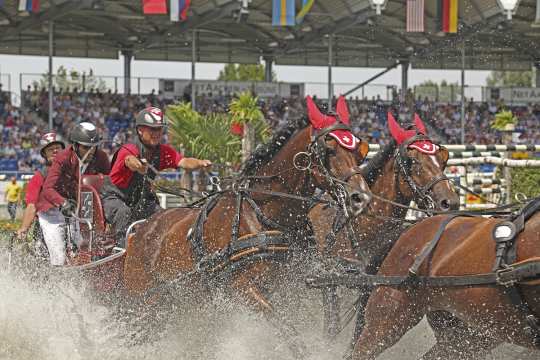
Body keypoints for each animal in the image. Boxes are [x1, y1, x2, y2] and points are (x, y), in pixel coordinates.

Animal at [120, 95, 370, 354]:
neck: (263, 211)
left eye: (359, 150)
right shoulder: (243, 288)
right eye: (328, 146)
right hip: (142, 301)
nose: (361, 198)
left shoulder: (290, 287)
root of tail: (140, 231)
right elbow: (289, 331)